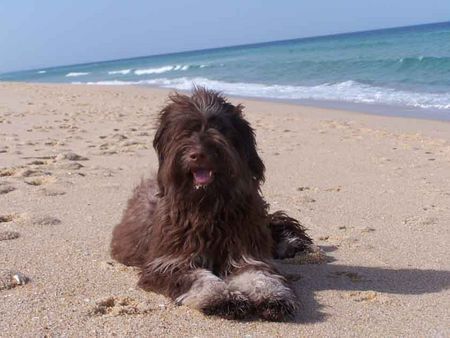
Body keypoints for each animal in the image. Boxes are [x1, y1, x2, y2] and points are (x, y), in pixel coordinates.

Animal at [110, 87, 312, 320]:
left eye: (220, 127)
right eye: (185, 130)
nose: (199, 154)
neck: (208, 204)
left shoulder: (245, 251)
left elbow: (259, 274)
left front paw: (272, 296)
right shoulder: (170, 262)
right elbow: (199, 278)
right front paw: (221, 298)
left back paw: (292, 242)